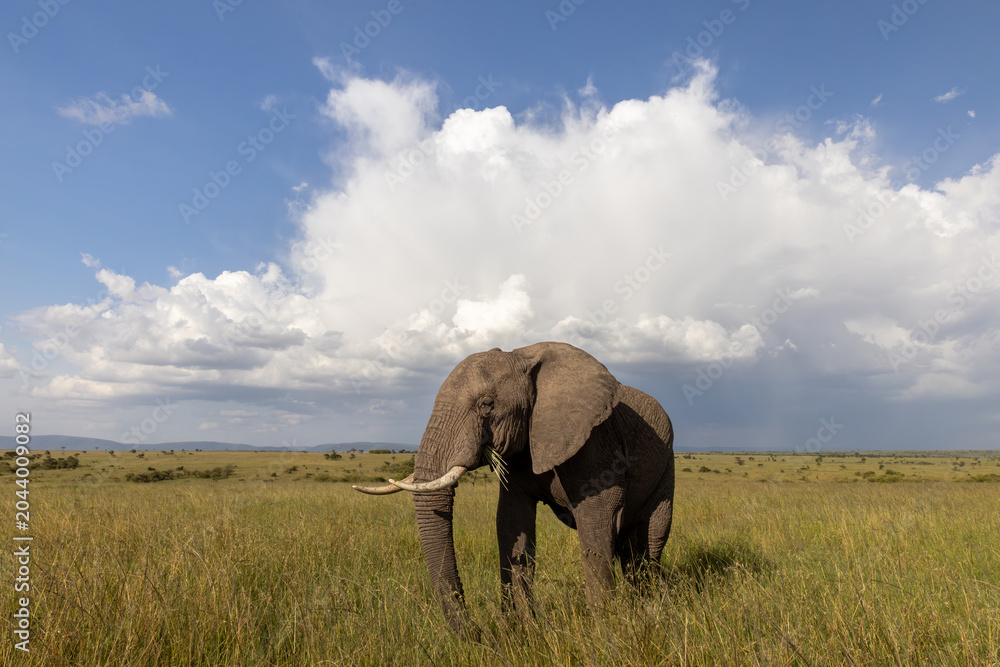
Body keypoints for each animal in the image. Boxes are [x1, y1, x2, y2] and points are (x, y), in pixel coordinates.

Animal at [355, 341, 674, 633]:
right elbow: (512, 523)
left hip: (666, 465)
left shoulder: (597, 442)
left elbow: (597, 522)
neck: (521, 355)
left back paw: (650, 608)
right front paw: (521, 629)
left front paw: (605, 627)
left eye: (486, 405)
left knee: (649, 544)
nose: (476, 633)